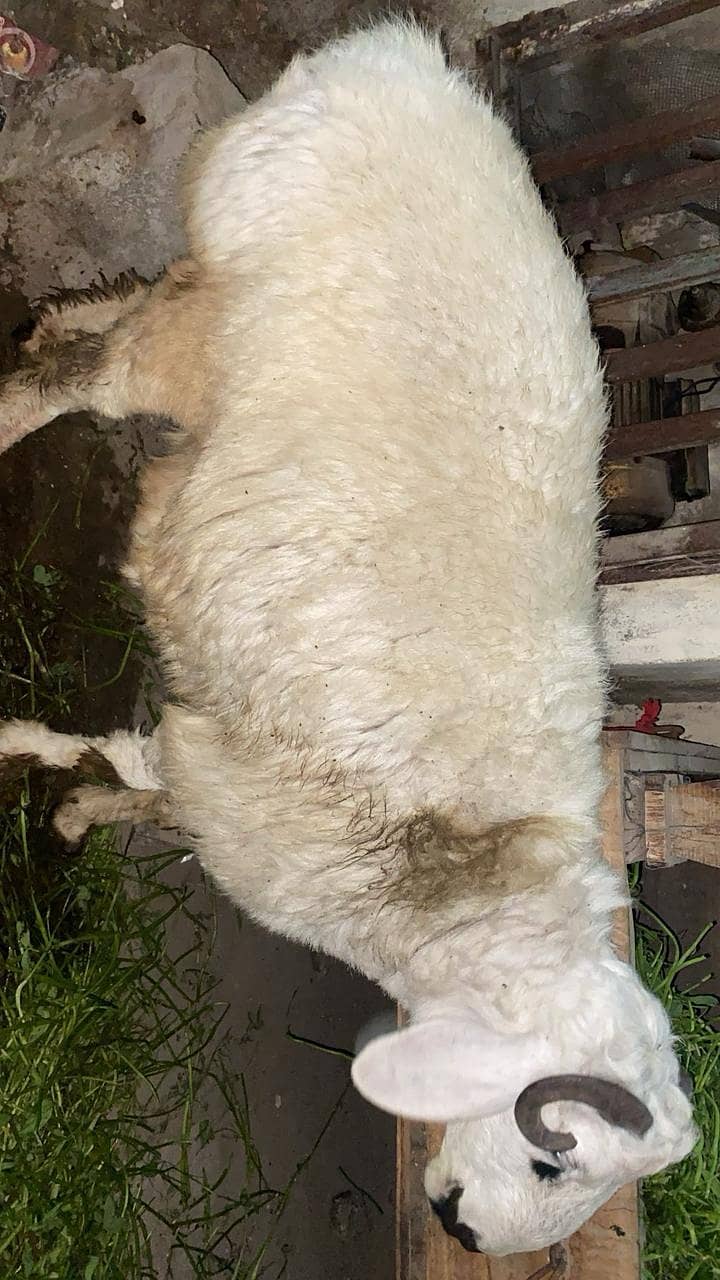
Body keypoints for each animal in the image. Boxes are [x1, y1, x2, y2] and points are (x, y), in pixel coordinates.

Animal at [0, 18, 696, 1259]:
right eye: (549, 1148)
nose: (465, 1231)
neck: (461, 895)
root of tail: (399, 58)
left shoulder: (222, 778)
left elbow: (137, 779)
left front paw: (73, 810)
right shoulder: (245, 804)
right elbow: (120, 757)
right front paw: (34, 765)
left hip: (211, 278)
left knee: (103, 312)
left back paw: (51, 322)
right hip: (217, 314)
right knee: (75, 376)